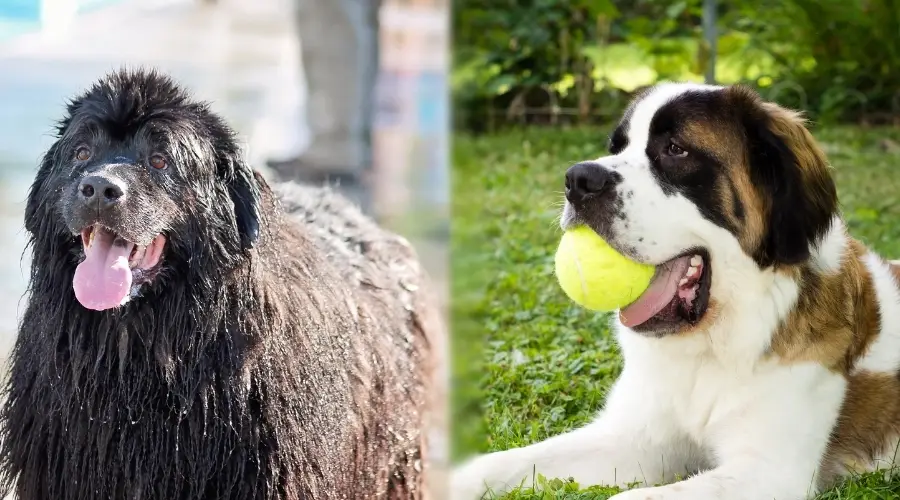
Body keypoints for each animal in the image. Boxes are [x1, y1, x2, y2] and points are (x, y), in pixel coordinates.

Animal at [454, 83, 900, 500]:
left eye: (675, 150)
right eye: (616, 147)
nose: (578, 179)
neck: (708, 348)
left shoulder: (769, 472)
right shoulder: (634, 438)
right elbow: (511, 460)